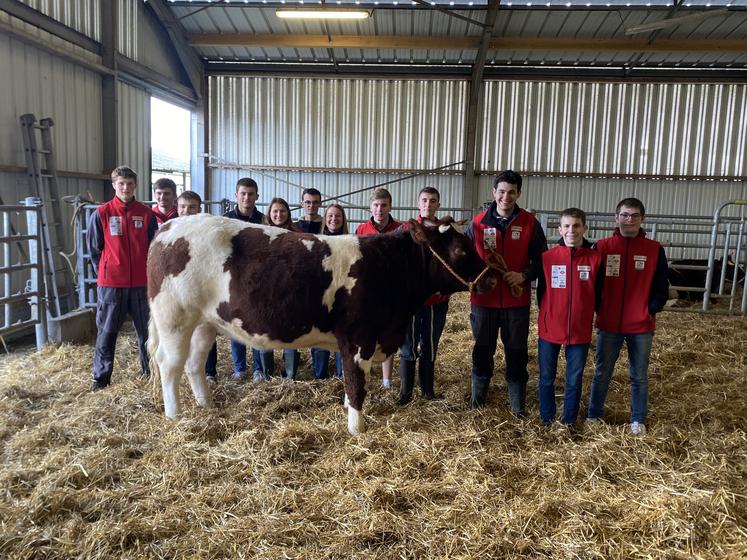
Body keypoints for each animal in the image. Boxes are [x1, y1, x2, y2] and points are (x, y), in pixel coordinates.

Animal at [149, 212, 494, 436]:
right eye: (461, 250)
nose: (491, 279)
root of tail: (170, 226)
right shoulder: (359, 338)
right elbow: (356, 383)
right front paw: (357, 429)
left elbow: (351, 384)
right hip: (174, 318)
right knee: (170, 364)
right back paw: (174, 415)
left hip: (205, 323)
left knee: (194, 364)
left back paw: (206, 406)